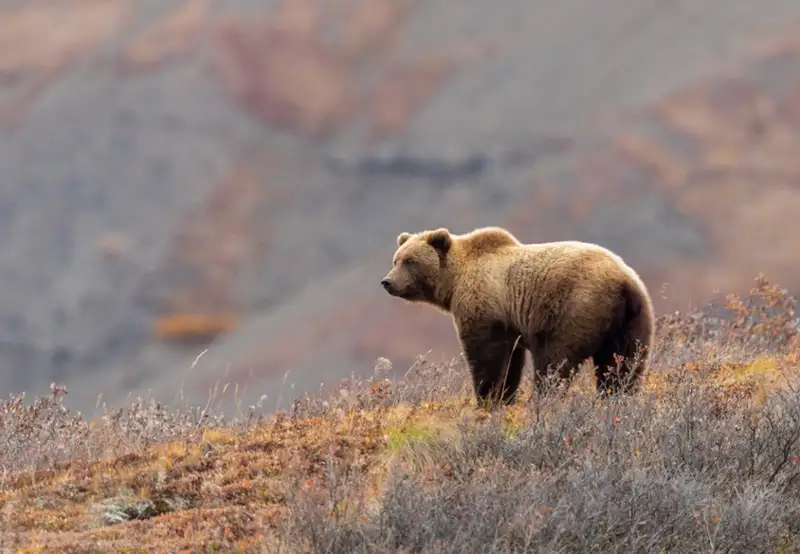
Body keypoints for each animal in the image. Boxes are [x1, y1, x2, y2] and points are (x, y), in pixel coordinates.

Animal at [380, 225, 655, 407]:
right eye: (396, 259)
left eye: (410, 260)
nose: (387, 282)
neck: (454, 282)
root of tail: (623, 282)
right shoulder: (510, 324)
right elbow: (511, 361)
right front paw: (505, 397)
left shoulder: (485, 307)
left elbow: (486, 355)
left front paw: (487, 397)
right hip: (632, 319)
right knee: (624, 362)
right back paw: (617, 396)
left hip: (575, 308)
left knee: (555, 360)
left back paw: (545, 397)